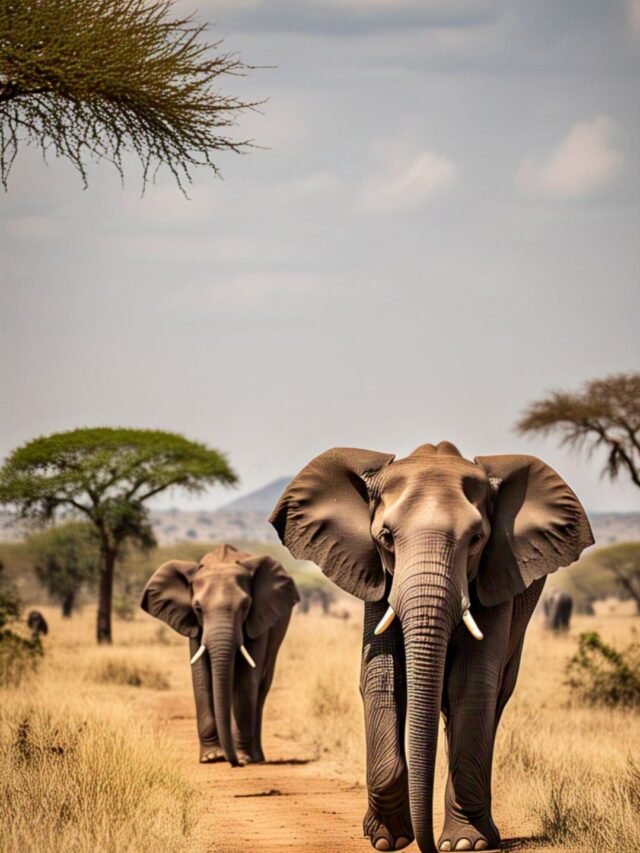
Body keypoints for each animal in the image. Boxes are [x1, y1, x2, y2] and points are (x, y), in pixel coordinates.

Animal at [141, 543, 299, 767]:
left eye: (245, 606)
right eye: (197, 608)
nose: (235, 763)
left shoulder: (258, 618)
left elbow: (246, 679)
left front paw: (243, 757)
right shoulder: (194, 624)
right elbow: (201, 678)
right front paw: (212, 757)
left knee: (261, 685)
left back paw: (256, 757)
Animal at [270, 441, 593, 853]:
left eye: (476, 540)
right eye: (386, 537)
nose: (427, 845)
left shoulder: (497, 574)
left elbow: (471, 684)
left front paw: (465, 844)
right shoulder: (377, 578)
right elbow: (382, 678)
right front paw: (387, 839)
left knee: (493, 698)